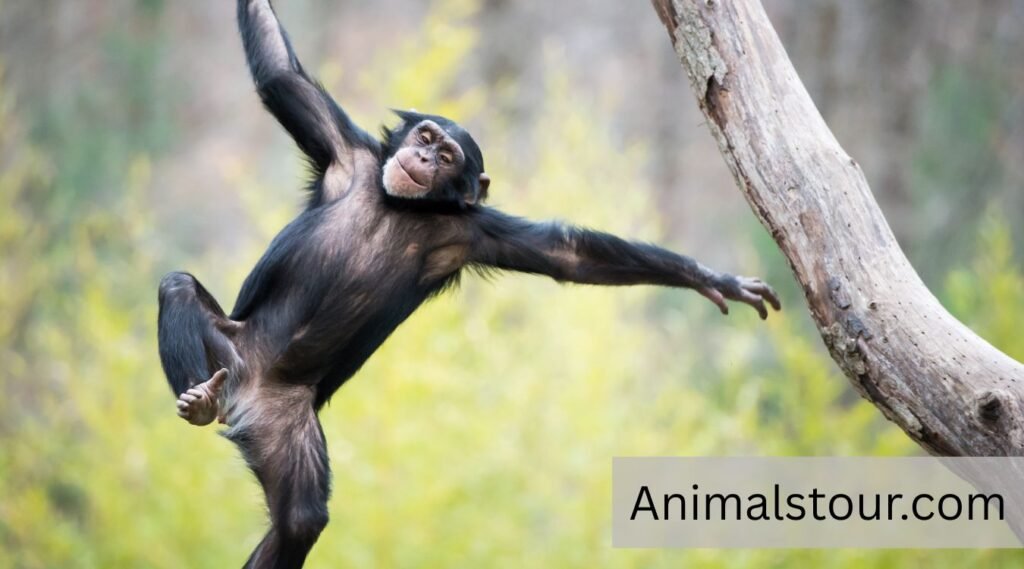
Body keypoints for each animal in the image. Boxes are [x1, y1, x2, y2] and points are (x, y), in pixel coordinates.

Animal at [156, 1, 781, 567]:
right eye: (426, 134)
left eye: (448, 154)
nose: (425, 155)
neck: (400, 204)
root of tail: (244, 398)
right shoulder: (342, 150)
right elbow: (279, 75)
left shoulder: (472, 232)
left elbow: (569, 255)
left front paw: (712, 279)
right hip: (230, 355)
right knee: (178, 289)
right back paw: (197, 398)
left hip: (285, 425)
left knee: (300, 519)